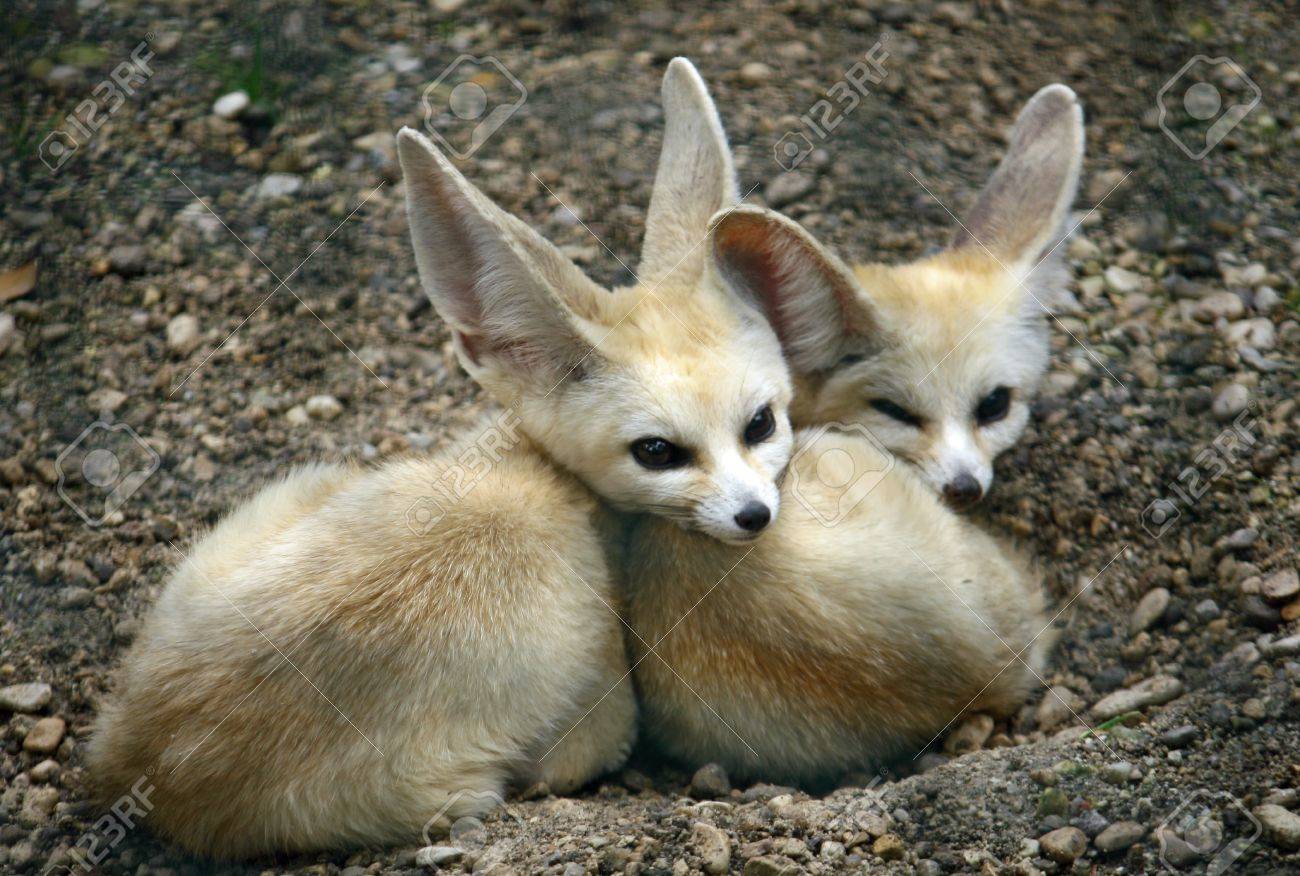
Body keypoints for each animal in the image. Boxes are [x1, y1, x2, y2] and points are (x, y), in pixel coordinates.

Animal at [88, 59, 800, 858]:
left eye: (761, 423)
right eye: (657, 452)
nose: (754, 515)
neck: (544, 478)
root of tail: (135, 762)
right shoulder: (599, 707)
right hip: (465, 788)